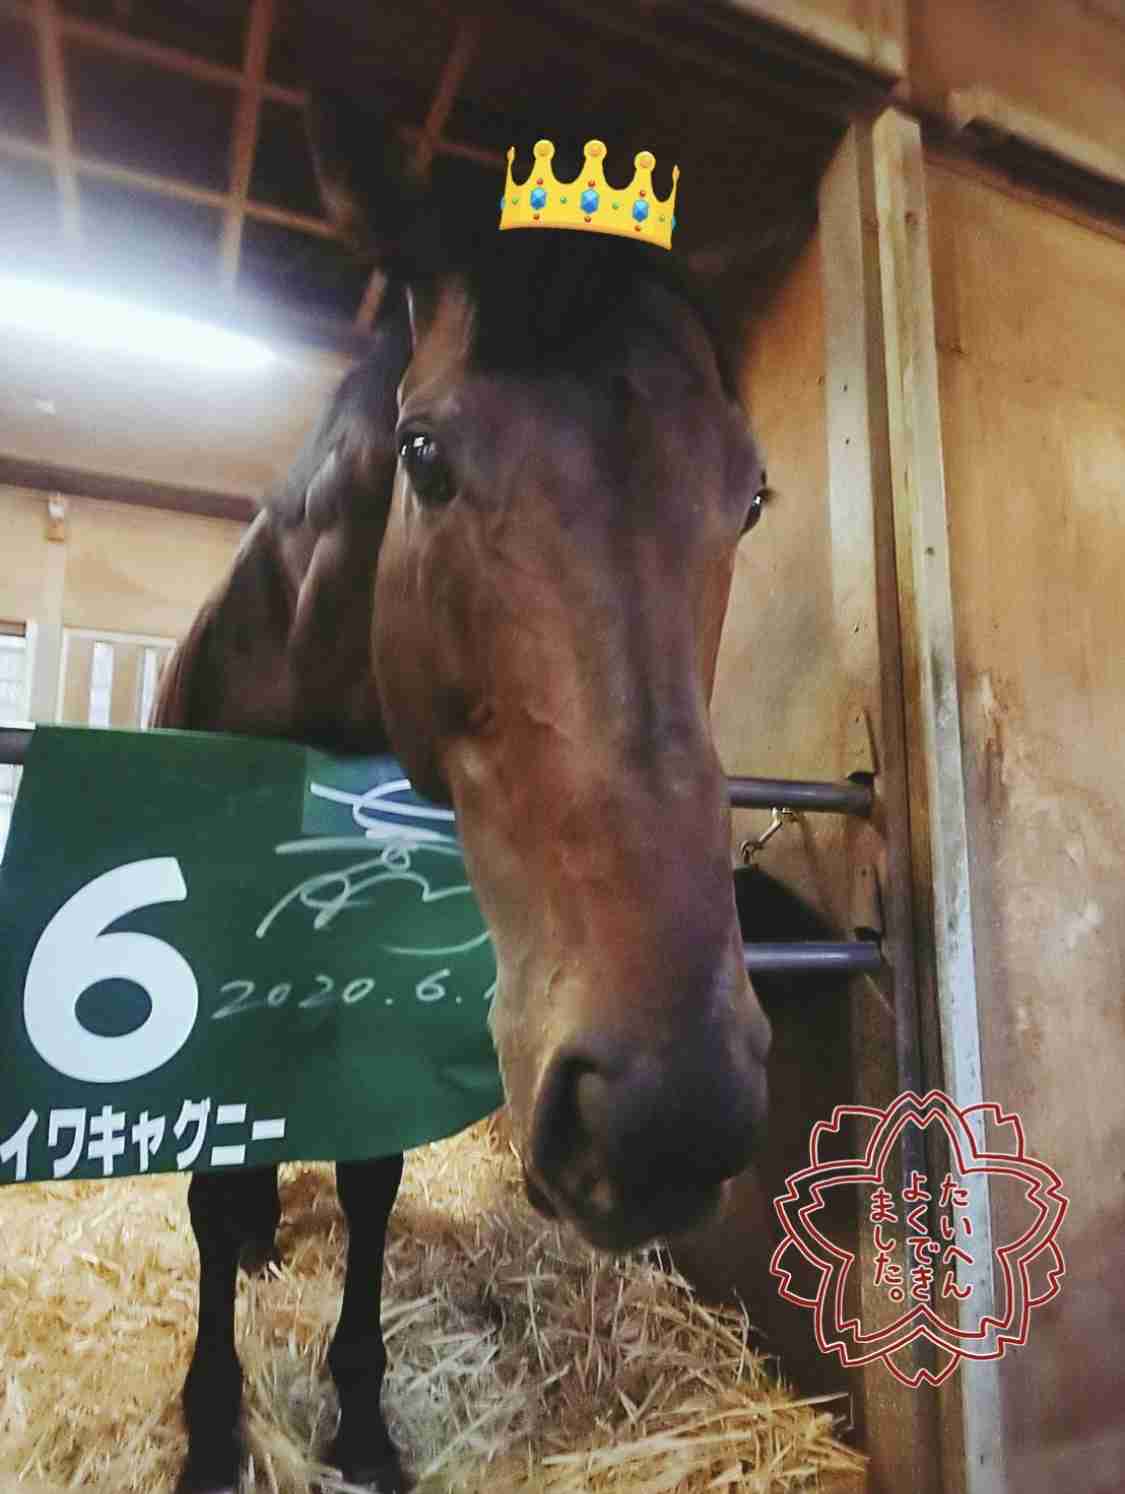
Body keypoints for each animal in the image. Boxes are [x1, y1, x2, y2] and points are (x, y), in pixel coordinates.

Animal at [154, 96, 773, 1494]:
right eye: (424, 453)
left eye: (752, 497)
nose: (669, 1114)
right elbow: (211, 1188)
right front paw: (215, 1428)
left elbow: (372, 1177)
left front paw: (366, 1425)